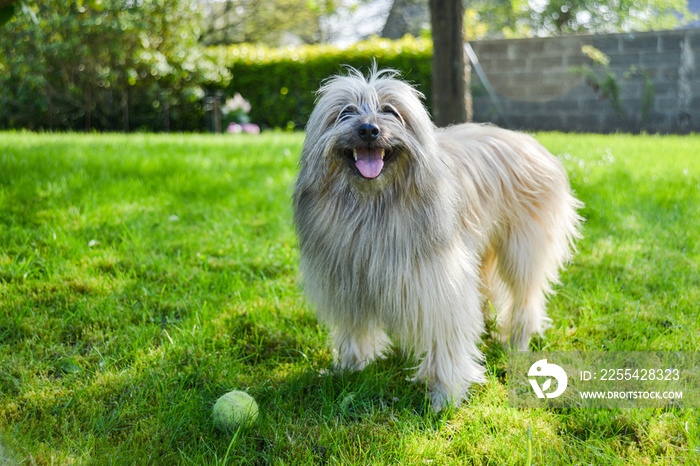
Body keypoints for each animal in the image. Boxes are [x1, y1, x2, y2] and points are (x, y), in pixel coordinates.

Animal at [292, 67, 584, 410]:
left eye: (390, 111)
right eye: (345, 112)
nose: (368, 130)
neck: (374, 204)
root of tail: (528, 141)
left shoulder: (439, 284)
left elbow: (446, 336)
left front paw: (446, 395)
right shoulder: (348, 280)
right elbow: (355, 329)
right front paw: (350, 369)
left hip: (522, 251)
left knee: (525, 299)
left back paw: (517, 342)